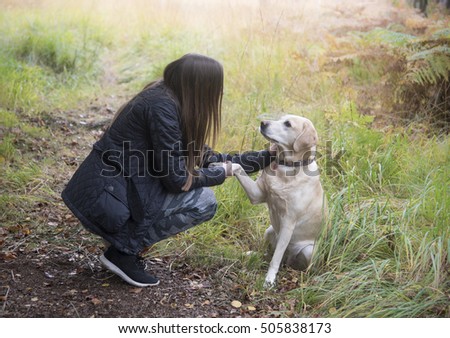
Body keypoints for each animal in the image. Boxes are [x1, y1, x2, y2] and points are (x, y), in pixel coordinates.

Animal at [232, 115, 324, 286]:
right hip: (269, 230)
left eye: (287, 124)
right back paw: (252, 254)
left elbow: (275, 259)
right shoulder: (257, 195)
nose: (262, 123)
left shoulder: (288, 222)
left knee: (285, 260)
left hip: (308, 250)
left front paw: (269, 280)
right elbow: (237, 166)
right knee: (267, 253)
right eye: (280, 118)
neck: (286, 168)